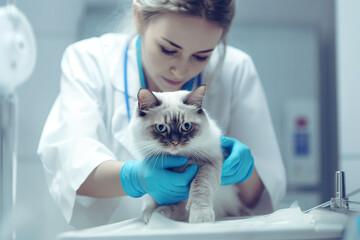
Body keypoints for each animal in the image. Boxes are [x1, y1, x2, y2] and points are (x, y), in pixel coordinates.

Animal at [129, 84, 250, 223]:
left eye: (186, 126)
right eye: (161, 128)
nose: (175, 142)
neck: (178, 158)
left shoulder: (207, 164)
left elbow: (200, 188)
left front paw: (200, 217)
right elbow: (157, 197)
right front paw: (150, 214)